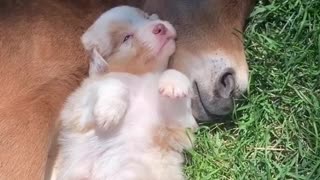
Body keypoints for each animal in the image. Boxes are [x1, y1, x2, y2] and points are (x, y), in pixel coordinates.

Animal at [52, 5, 198, 180]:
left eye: (146, 17)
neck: (141, 76)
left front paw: (175, 83)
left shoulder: (177, 126)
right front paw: (109, 112)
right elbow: (114, 83)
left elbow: (173, 78)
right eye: (126, 38)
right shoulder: (79, 111)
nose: (160, 27)